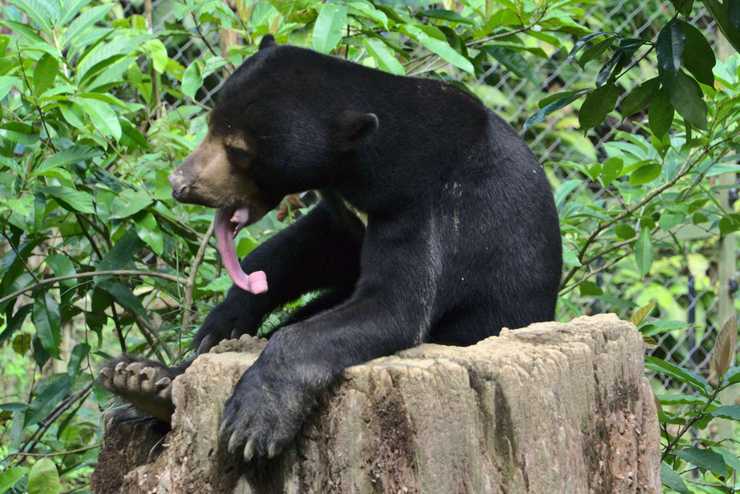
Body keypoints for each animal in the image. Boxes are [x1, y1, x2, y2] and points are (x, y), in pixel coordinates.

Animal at [99, 34, 562, 462]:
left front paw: (251, 423)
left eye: (239, 151)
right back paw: (143, 380)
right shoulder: (345, 209)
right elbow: (308, 248)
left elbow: (394, 307)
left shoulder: (429, 205)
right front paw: (222, 322)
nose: (181, 184)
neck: (368, 167)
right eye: (212, 124)